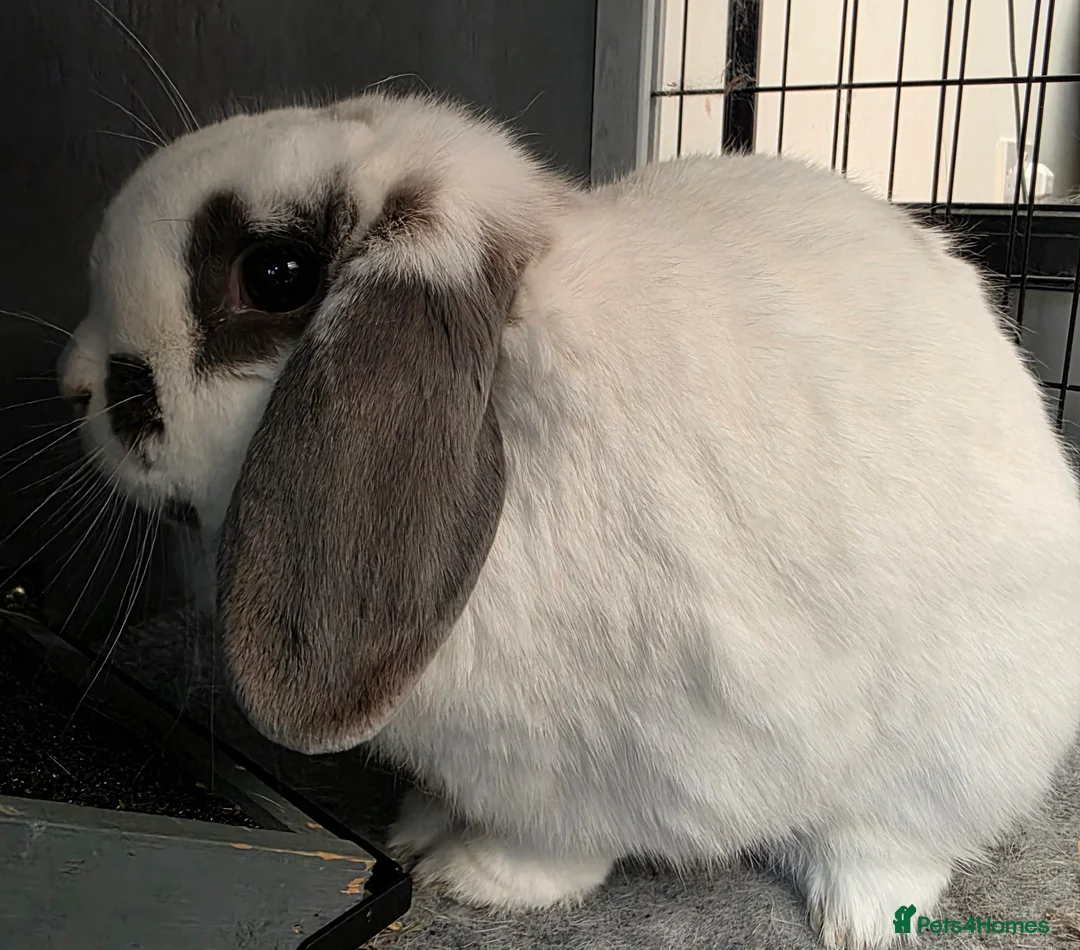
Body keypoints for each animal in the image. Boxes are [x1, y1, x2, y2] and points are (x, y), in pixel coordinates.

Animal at [57, 90, 1080, 950]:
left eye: (276, 273)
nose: (73, 387)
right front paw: (422, 831)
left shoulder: (618, 759)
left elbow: (559, 843)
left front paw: (474, 877)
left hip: (960, 739)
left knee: (902, 837)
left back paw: (859, 916)